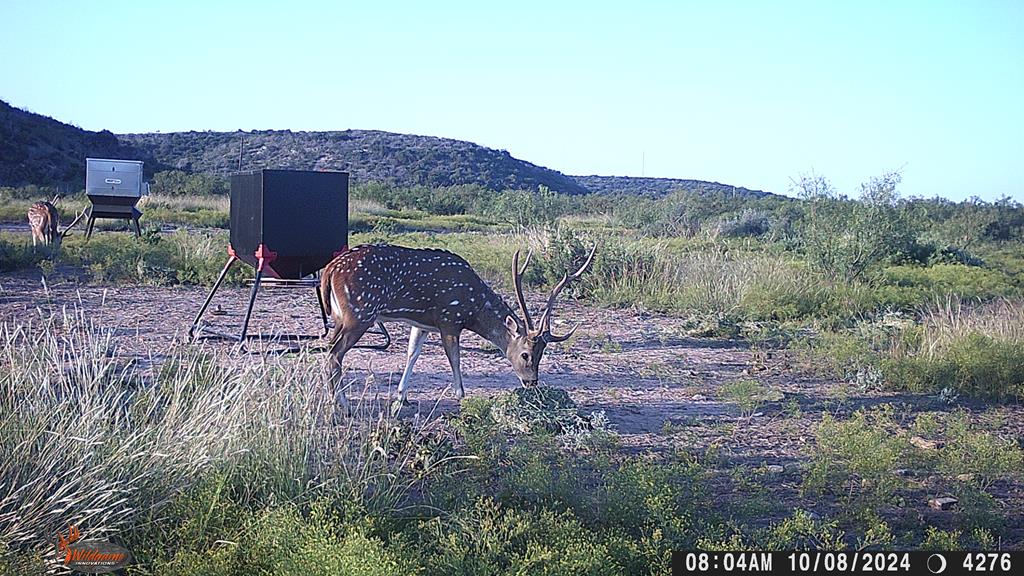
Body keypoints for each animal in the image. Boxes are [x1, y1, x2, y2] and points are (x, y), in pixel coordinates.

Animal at [317, 241, 593, 412]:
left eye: (542, 354)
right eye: (525, 354)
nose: (531, 382)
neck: (473, 308)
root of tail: (329, 271)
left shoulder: (423, 323)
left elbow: (412, 354)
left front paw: (401, 396)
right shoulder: (449, 319)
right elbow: (455, 359)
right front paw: (461, 396)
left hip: (343, 317)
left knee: (329, 351)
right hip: (359, 313)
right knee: (334, 355)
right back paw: (341, 404)